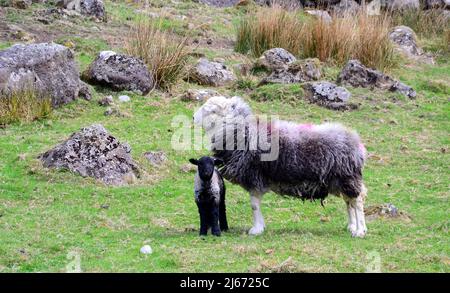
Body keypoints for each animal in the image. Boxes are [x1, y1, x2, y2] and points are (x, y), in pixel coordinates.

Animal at [192, 96, 368, 237]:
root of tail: (356, 142)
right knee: (349, 202)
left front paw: (256, 230)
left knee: (357, 201)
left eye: (212, 110)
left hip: (347, 177)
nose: (193, 117)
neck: (241, 132)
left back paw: (360, 231)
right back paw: (351, 227)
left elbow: (254, 206)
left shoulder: (254, 178)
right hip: (339, 180)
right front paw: (260, 227)